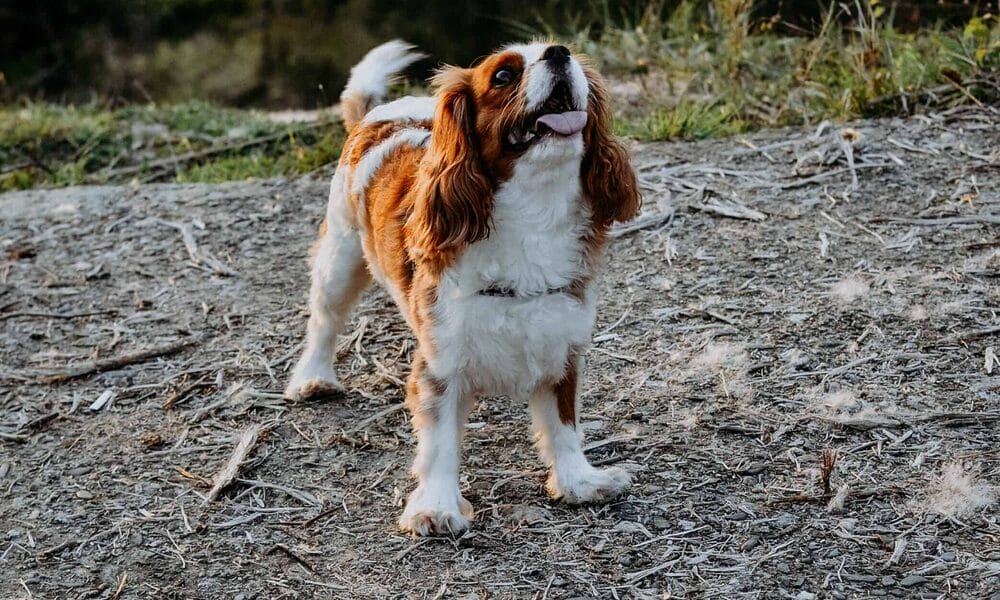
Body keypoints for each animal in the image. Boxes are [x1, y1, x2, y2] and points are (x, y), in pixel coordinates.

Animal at [284, 39, 640, 536]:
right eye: (504, 76)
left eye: (571, 58)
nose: (558, 52)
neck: (533, 213)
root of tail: (378, 113)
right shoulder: (440, 363)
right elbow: (440, 442)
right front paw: (435, 508)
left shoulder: (561, 345)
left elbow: (564, 425)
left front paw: (579, 482)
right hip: (340, 256)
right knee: (325, 319)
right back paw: (312, 378)